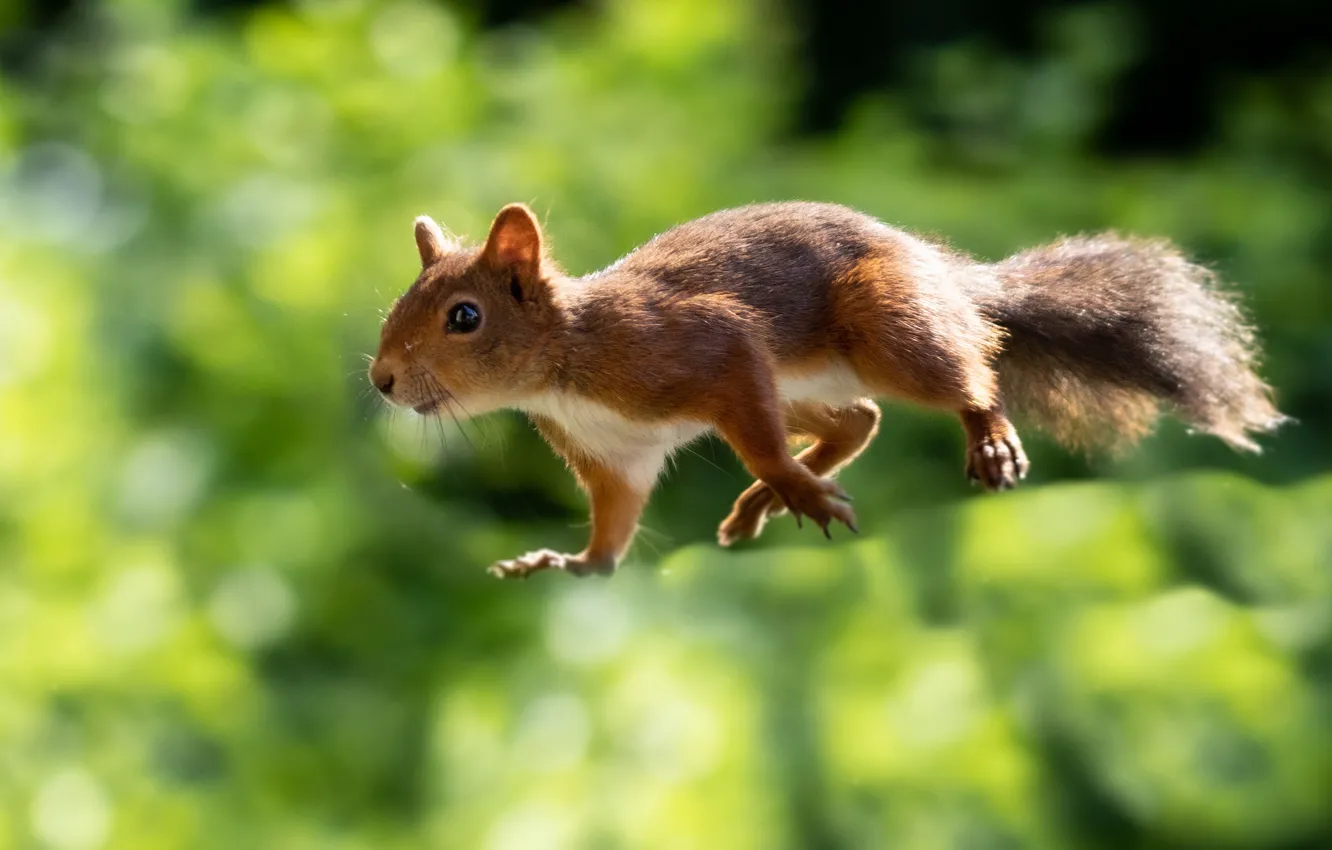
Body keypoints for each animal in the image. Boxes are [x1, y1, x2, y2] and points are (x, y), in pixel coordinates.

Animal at [370, 202, 1284, 583]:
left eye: (463, 316)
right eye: (395, 305)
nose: (381, 380)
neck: (566, 362)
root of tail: (942, 274)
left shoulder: (711, 349)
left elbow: (759, 439)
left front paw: (795, 489)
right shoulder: (614, 455)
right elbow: (615, 521)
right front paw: (571, 564)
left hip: (883, 329)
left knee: (966, 371)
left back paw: (980, 438)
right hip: (806, 382)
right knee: (859, 419)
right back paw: (762, 504)